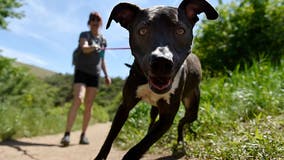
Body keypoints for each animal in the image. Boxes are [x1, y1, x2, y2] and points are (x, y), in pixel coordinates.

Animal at [95, 0, 217, 159]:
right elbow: (110, 138)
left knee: (181, 122)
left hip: (192, 109)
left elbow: (139, 147)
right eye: (142, 31)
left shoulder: (167, 117)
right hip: (155, 109)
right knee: (153, 121)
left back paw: (180, 142)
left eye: (180, 31)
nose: (161, 63)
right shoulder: (125, 106)